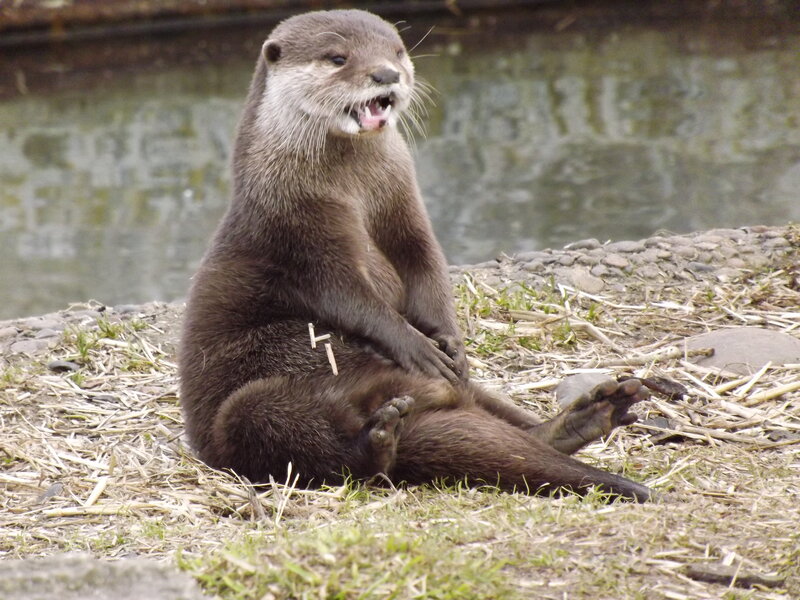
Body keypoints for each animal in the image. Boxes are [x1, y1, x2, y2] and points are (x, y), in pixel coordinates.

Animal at [179, 9, 654, 501]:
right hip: (246, 410)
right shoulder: (299, 231)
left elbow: (425, 262)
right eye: (337, 58)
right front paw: (417, 346)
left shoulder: (403, 204)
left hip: (468, 392)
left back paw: (585, 417)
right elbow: (348, 296)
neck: (350, 188)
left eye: (397, 51)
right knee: (302, 438)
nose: (387, 74)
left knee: (484, 407)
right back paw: (376, 440)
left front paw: (448, 338)